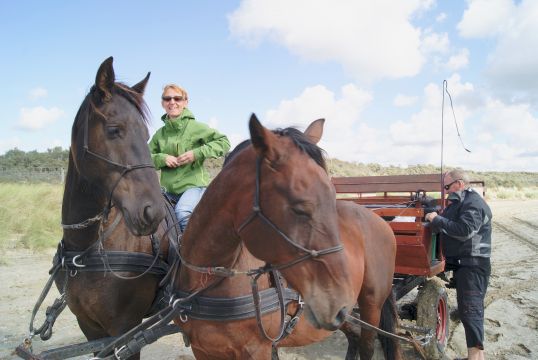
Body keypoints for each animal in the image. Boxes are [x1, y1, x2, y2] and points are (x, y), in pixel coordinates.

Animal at [57, 57, 170, 358]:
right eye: (113, 129)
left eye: (146, 135)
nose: (153, 212)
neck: (86, 249)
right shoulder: (90, 328)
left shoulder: (124, 328)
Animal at [172, 116, 398, 360]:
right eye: (300, 208)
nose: (337, 304)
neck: (206, 281)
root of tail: (379, 219)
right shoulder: (203, 350)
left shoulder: (257, 350)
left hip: (370, 306)